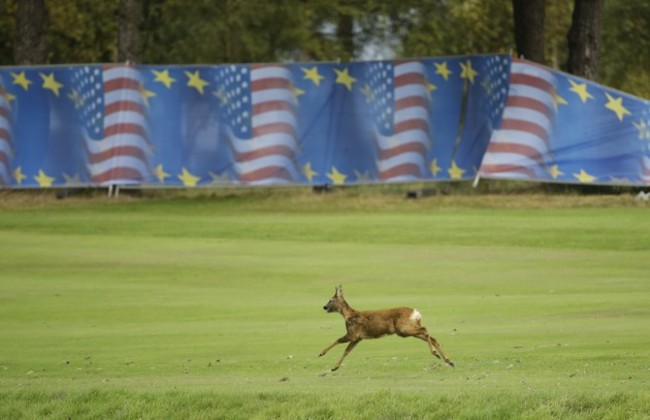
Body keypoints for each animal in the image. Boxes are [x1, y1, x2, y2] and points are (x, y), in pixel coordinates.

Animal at [318, 286, 450, 370]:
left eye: (330, 300)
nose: (324, 307)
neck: (348, 315)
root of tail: (416, 313)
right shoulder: (358, 338)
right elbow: (347, 351)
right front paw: (335, 367)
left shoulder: (353, 333)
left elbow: (338, 340)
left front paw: (321, 353)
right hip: (406, 330)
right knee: (432, 337)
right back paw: (449, 361)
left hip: (404, 328)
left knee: (425, 329)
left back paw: (436, 354)